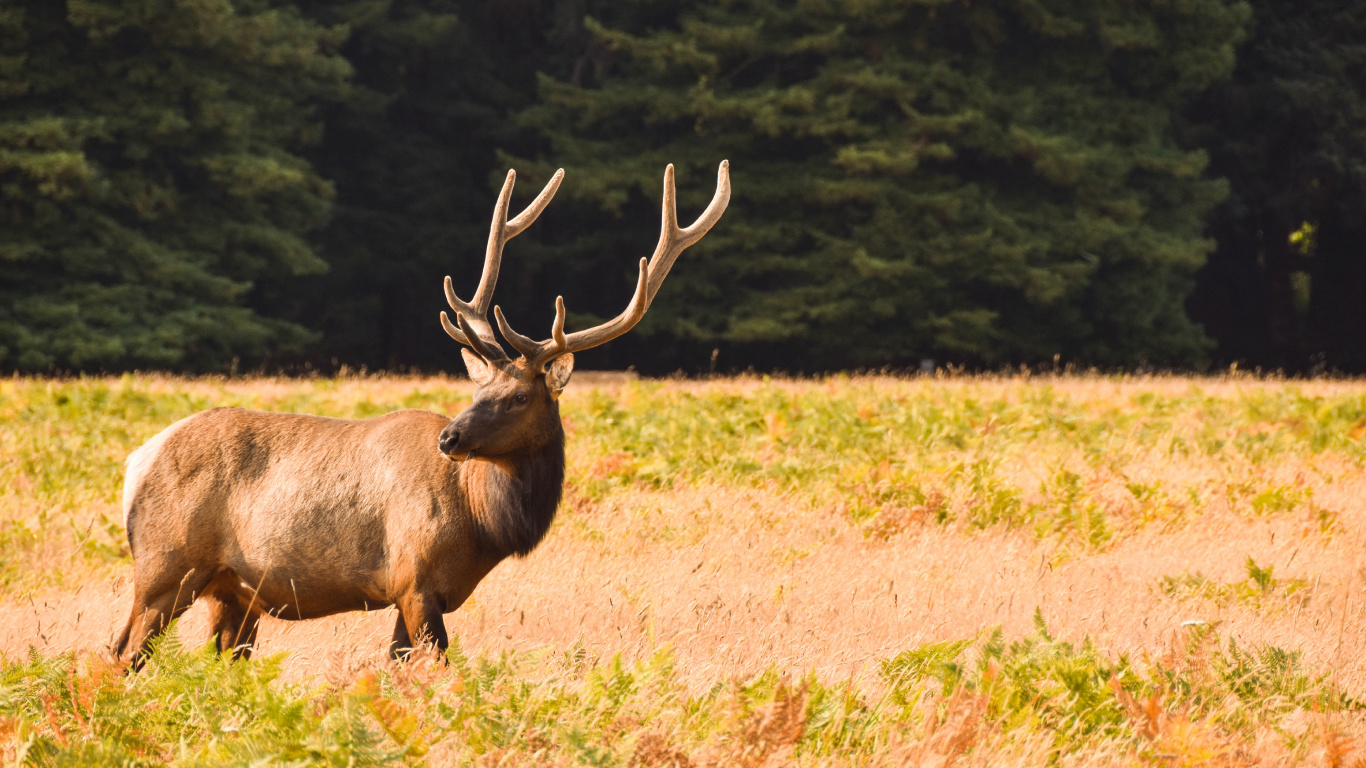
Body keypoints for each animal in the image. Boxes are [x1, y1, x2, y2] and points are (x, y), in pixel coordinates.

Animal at [113, 161, 730, 668]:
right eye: (480, 390)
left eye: (518, 397)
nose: (450, 439)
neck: (481, 522)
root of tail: (136, 462)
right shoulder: (413, 580)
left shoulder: (418, 595)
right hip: (165, 565)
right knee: (122, 652)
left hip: (233, 591)